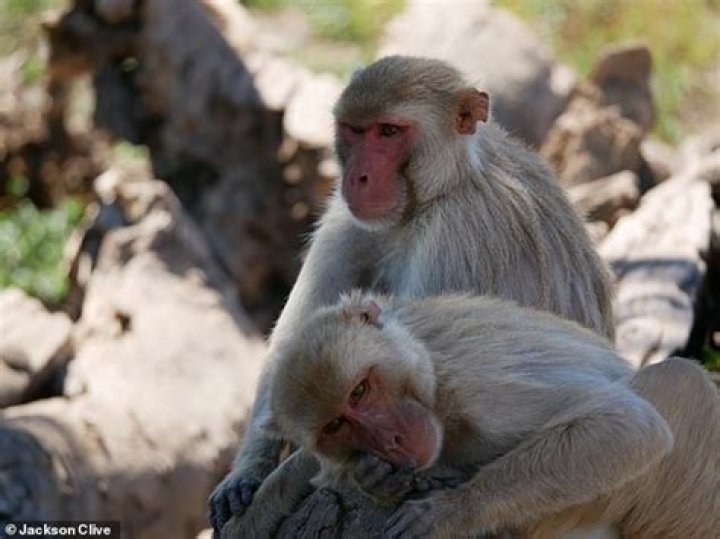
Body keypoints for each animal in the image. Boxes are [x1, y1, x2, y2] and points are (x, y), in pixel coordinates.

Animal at [209, 55, 615, 531]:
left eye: (389, 131)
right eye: (355, 130)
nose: (358, 176)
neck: (439, 190)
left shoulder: (456, 235)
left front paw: (266, 503)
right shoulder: (347, 215)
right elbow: (300, 351)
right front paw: (246, 474)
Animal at [269, 291, 720, 539]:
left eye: (359, 391)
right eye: (336, 425)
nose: (389, 439)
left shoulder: (481, 384)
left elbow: (628, 426)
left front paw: (455, 509)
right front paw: (374, 478)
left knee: (681, 382)